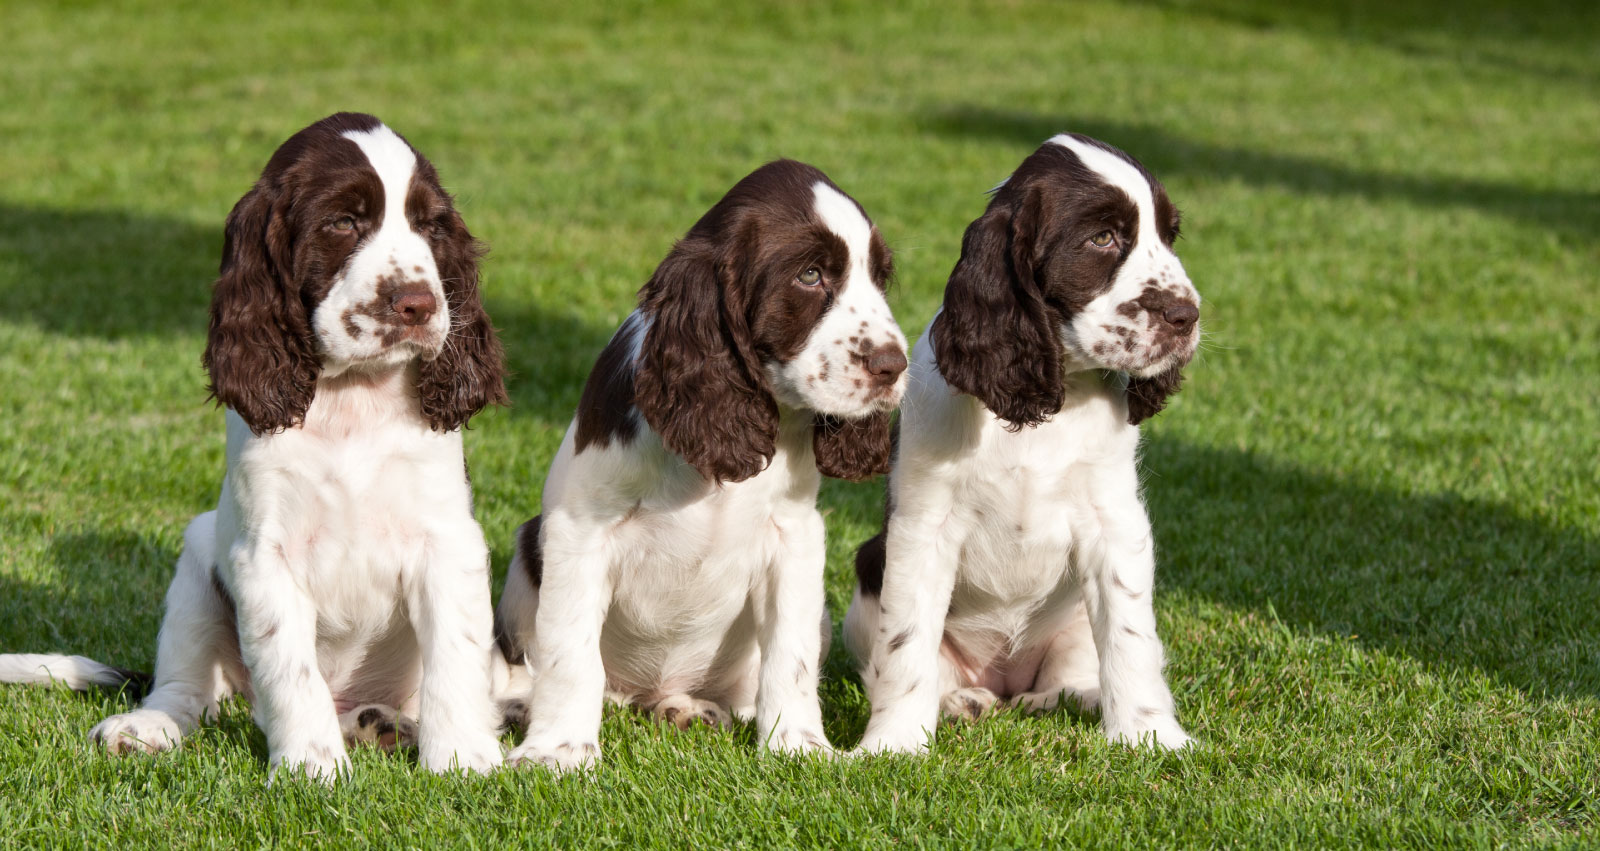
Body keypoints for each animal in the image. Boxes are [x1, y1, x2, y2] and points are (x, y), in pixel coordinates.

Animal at [0, 114, 505, 783]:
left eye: (429, 225)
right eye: (342, 222)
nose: (419, 305)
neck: (351, 399)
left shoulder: (448, 540)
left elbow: (456, 656)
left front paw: (465, 761)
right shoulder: (264, 554)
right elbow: (290, 669)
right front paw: (311, 769)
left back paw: (386, 725)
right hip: (196, 559)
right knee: (186, 691)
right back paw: (147, 727)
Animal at [492, 157, 908, 771]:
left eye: (880, 277)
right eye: (810, 275)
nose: (893, 366)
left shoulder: (796, 537)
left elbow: (791, 652)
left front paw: (799, 746)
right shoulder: (579, 531)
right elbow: (571, 652)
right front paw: (558, 751)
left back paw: (687, 708)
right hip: (528, 552)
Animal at [851, 135, 1203, 755]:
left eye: (1169, 235)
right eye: (1102, 238)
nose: (1187, 315)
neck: (1045, 405)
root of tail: (1003, 679)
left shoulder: (1115, 521)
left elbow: (1131, 637)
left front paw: (1150, 734)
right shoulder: (922, 527)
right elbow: (906, 643)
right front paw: (893, 743)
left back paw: (1069, 697)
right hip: (870, 569)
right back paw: (959, 701)